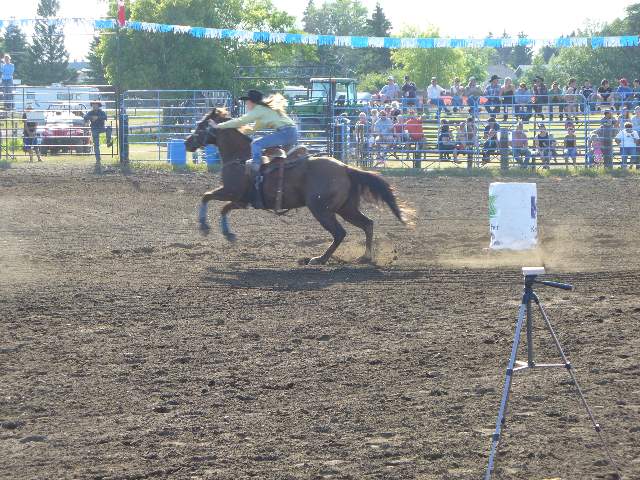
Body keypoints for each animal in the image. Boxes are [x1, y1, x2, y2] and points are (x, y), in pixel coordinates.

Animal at [184, 108, 410, 264]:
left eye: (201, 125)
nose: (187, 143)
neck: (240, 157)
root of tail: (345, 167)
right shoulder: (240, 200)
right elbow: (223, 208)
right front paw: (228, 234)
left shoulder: (231, 191)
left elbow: (206, 196)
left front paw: (204, 226)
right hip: (346, 208)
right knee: (367, 224)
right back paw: (365, 257)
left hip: (321, 209)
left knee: (340, 233)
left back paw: (319, 259)